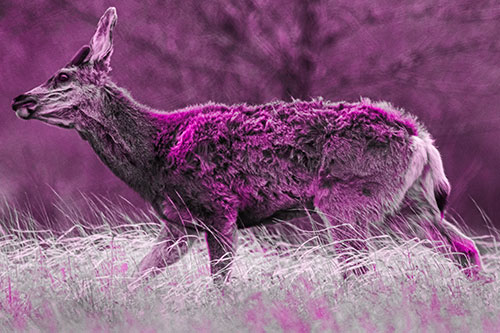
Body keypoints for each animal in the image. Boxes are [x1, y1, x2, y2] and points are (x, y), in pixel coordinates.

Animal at [10, 7, 484, 282]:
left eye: (63, 77)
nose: (19, 99)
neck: (153, 154)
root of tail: (420, 140)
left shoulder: (217, 208)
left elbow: (220, 284)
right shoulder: (178, 224)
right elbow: (138, 278)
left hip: (347, 200)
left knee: (360, 272)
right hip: (408, 204)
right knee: (465, 249)